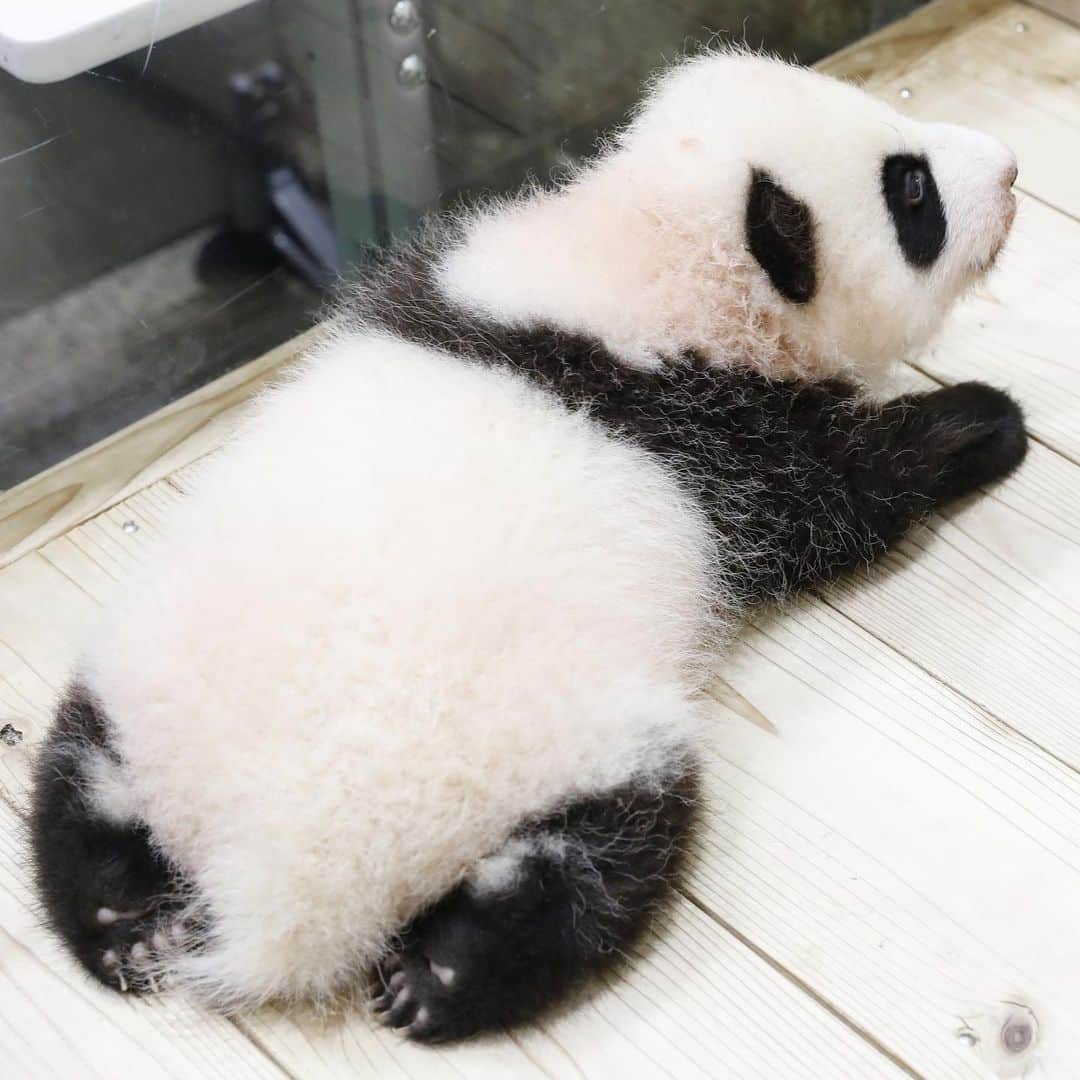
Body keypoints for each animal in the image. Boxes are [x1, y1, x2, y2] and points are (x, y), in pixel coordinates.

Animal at [29, 50, 1026, 1043]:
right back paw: (443, 976)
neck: (641, 257)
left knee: (75, 789)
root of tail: (272, 892)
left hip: (146, 684)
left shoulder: (439, 277)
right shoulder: (725, 443)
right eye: (913, 192)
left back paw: (121, 927)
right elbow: (852, 490)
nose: (1012, 170)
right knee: (599, 858)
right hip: (564, 746)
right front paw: (984, 423)